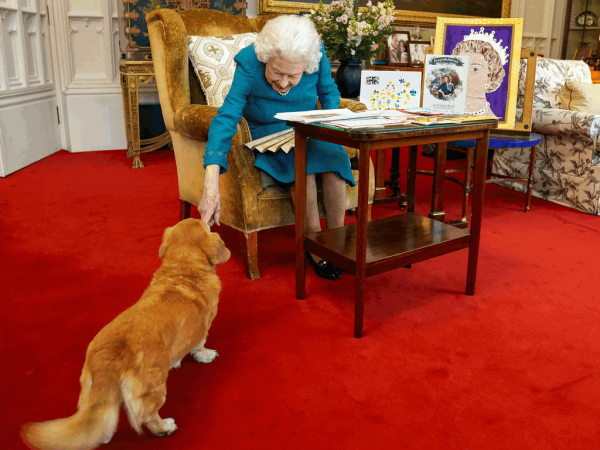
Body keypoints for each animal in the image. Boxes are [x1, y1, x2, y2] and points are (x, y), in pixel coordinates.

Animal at [22, 217, 230, 446]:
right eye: (205, 226)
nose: (206, 217)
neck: (183, 271)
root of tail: (108, 358)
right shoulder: (203, 328)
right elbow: (200, 346)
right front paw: (206, 356)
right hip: (153, 389)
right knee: (149, 416)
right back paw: (165, 427)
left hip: (93, 390)